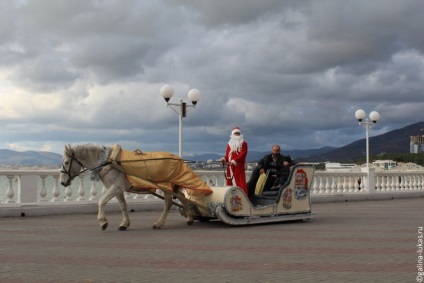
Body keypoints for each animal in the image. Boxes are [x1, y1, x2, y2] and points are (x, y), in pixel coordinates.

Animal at [58, 145, 211, 232]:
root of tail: (178, 159)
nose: (62, 182)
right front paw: (124, 223)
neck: (108, 161)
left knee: (168, 203)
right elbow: (123, 206)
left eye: (66, 162)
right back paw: (189, 218)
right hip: (171, 185)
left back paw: (159, 223)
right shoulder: (118, 189)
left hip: (165, 185)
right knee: (182, 197)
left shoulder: (115, 187)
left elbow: (101, 202)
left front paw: (103, 222)